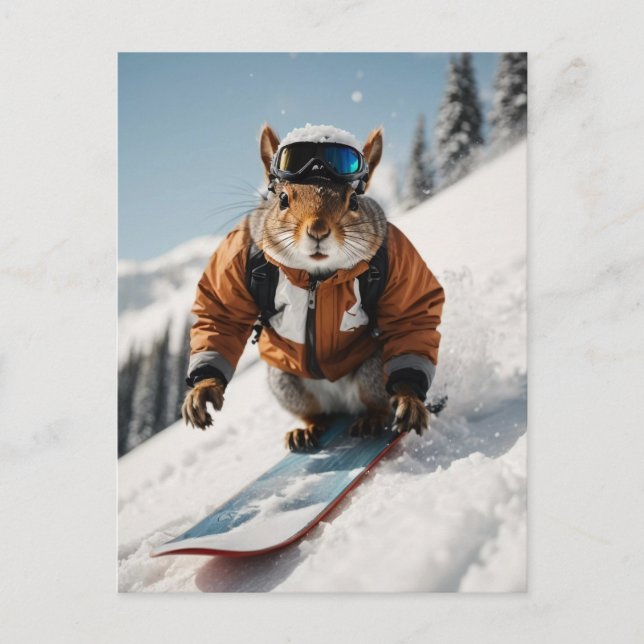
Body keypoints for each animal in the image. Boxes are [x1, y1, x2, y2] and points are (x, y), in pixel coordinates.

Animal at [182, 123, 445, 450]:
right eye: (282, 199)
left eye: (353, 201)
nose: (318, 230)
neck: (315, 278)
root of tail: (340, 402)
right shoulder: (238, 249)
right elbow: (221, 313)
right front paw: (203, 389)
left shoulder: (396, 252)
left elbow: (413, 313)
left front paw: (410, 399)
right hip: (287, 385)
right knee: (317, 414)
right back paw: (305, 431)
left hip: (373, 371)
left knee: (376, 402)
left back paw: (372, 419)